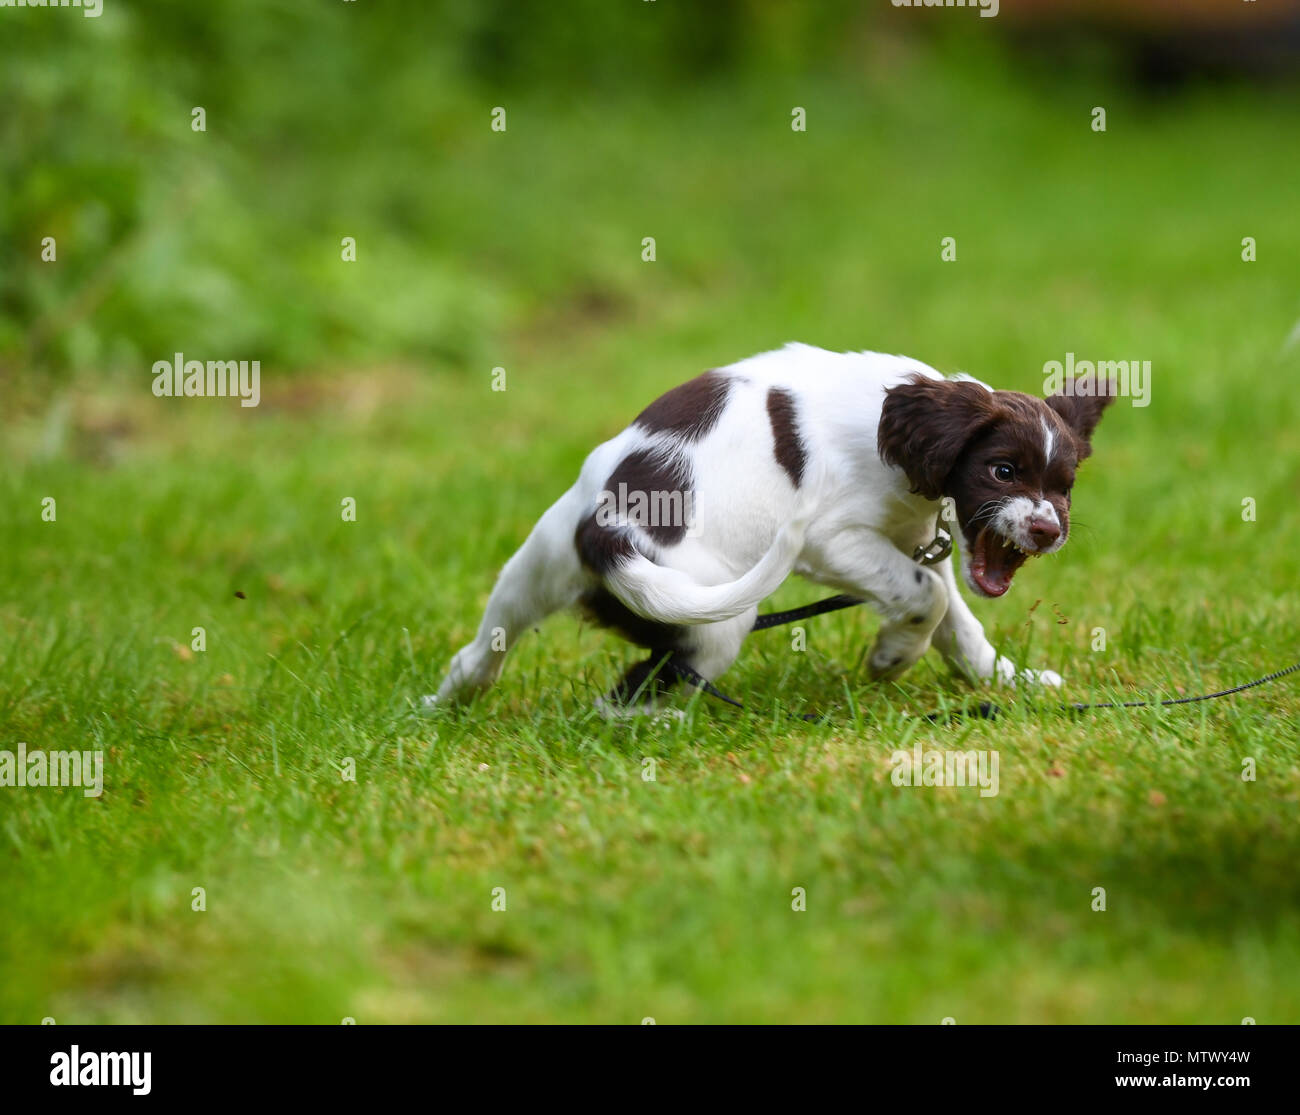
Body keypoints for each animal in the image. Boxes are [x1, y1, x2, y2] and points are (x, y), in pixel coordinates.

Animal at [431, 340, 1112, 712]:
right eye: (1003, 471)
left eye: (1064, 487)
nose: (1049, 531)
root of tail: (606, 532)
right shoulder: (836, 540)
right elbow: (930, 598)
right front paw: (891, 659)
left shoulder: (921, 543)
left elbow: (956, 621)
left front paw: (1006, 681)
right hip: (715, 617)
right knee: (628, 700)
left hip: (533, 568)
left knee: (479, 652)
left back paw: (441, 707)